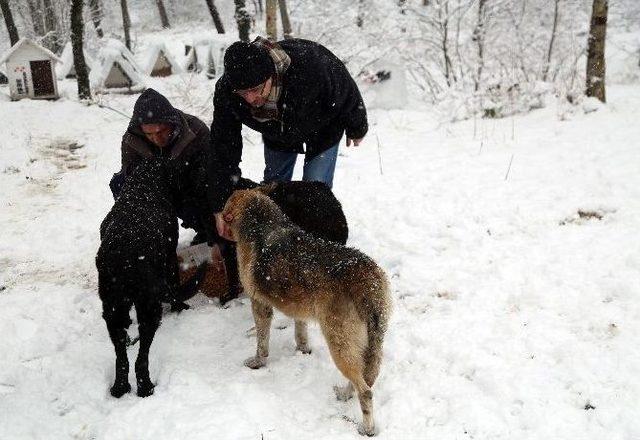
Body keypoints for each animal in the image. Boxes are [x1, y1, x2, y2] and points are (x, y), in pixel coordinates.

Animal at [96, 159, 205, 398]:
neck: (144, 186)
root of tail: (126, 260)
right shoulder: (170, 256)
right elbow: (175, 283)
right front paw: (180, 307)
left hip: (112, 308)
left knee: (121, 354)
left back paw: (120, 387)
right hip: (149, 307)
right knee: (142, 355)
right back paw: (145, 386)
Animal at [220, 190, 390, 436]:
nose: (215, 218)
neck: (262, 223)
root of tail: (367, 280)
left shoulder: (259, 305)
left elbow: (262, 343)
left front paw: (258, 362)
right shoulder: (299, 309)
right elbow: (300, 332)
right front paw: (302, 350)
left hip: (339, 344)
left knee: (365, 391)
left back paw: (366, 428)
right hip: (367, 343)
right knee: (364, 379)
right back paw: (344, 394)